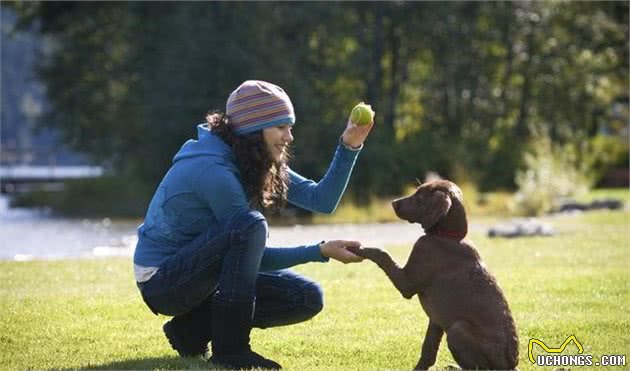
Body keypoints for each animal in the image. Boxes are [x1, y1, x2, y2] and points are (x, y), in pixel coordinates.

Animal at [350, 179, 520, 370]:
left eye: (419, 196)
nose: (393, 203)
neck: (448, 236)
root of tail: (510, 365)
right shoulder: (436, 320)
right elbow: (428, 350)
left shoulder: (407, 282)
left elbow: (382, 253)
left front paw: (359, 248)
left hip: (457, 329)